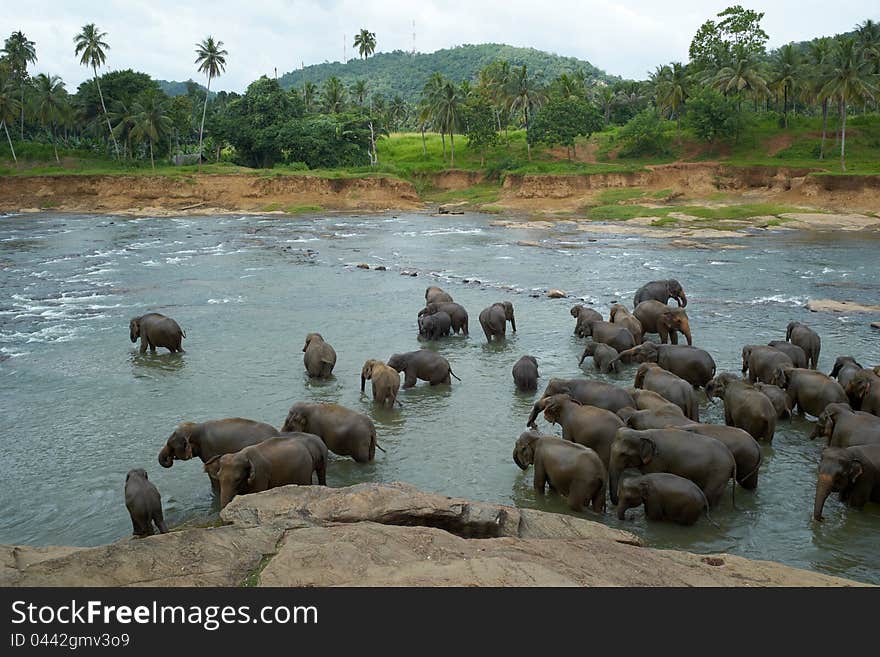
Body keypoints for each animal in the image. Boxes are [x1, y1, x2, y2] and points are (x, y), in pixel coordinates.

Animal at [604, 428, 736, 504]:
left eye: (623, 454)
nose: (616, 501)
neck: (643, 433)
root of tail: (732, 460)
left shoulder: (657, 461)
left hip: (718, 474)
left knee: (710, 494)